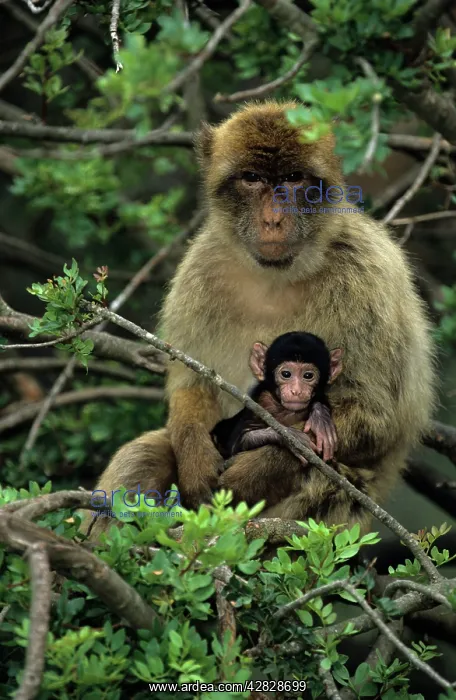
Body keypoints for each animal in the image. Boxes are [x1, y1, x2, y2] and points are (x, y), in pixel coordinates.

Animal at [211, 332, 343, 463]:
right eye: (286, 374)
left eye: (308, 375)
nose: (296, 391)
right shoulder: (260, 404)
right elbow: (235, 446)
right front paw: (291, 437)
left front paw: (321, 417)